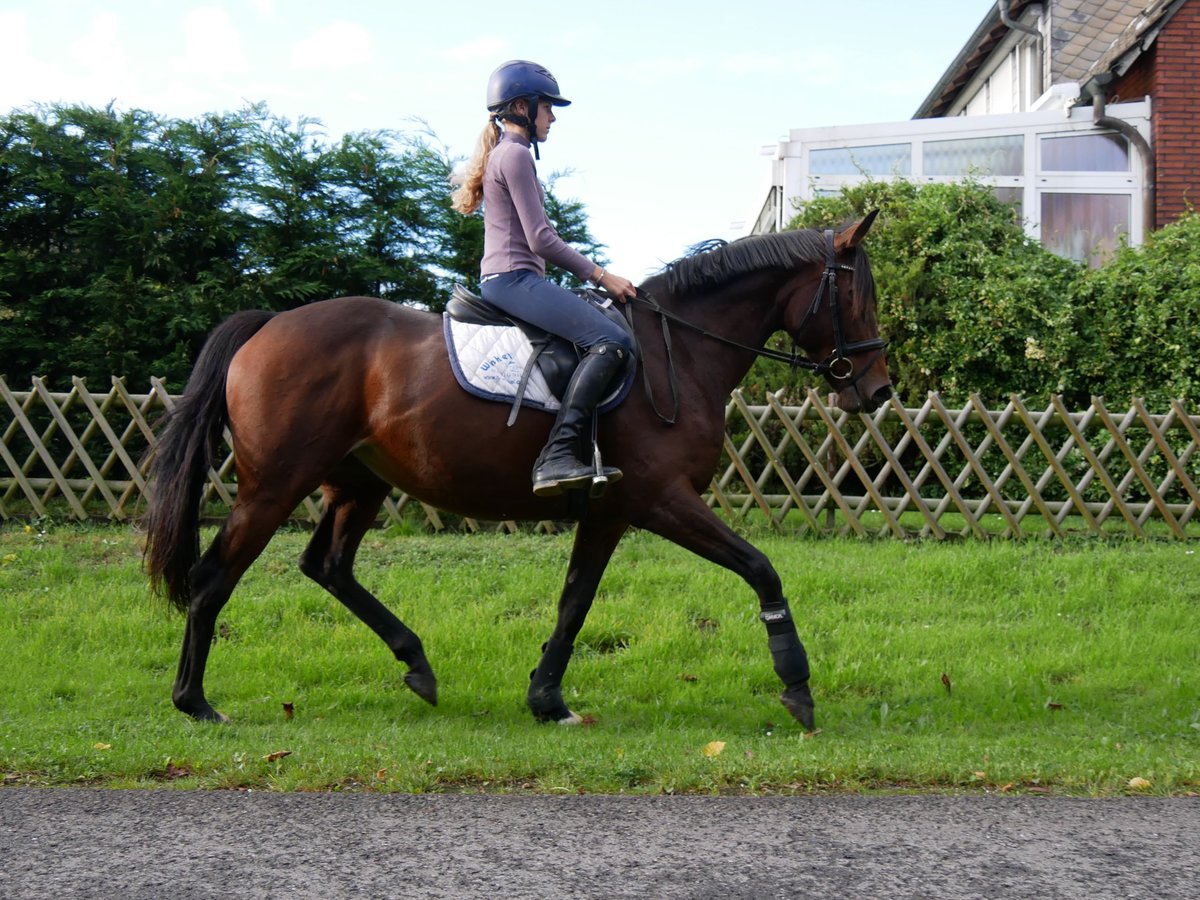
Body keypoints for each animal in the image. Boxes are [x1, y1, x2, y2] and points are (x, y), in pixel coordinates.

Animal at [142, 213, 892, 734]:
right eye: (858, 298)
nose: (878, 389)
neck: (676, 353)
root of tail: (270, 324)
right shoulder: (661, 500)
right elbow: (761, 568)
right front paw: (797, 686)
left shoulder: (610, 512)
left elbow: (574, 602)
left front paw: (547, 700)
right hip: (274, 487)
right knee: (213, 578)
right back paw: (195, 703)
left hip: (359, 483)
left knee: (327, 565)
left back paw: (417, 663)